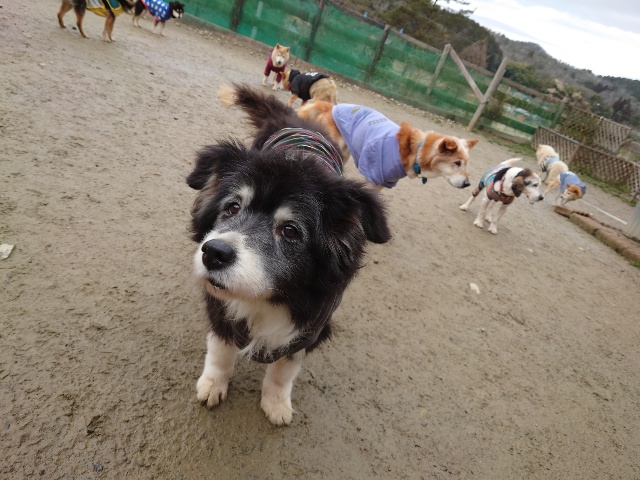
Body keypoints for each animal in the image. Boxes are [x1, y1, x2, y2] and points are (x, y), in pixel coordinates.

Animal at [187, 84, 391, 425]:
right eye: (232, 207)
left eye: (291, 230)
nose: (213, 253)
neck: (271, 297)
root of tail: (295, 118)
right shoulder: (220, 309)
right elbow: (221, 351)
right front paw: (212, 385)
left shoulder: (308, 330)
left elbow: (283, 373)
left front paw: (277, 405)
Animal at [296, 101, 478, 190]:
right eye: (457, 163)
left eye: (466, 164)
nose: (468, 184)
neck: (416, 150)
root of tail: (330, 107)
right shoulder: (371, 176)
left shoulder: (385, 182)